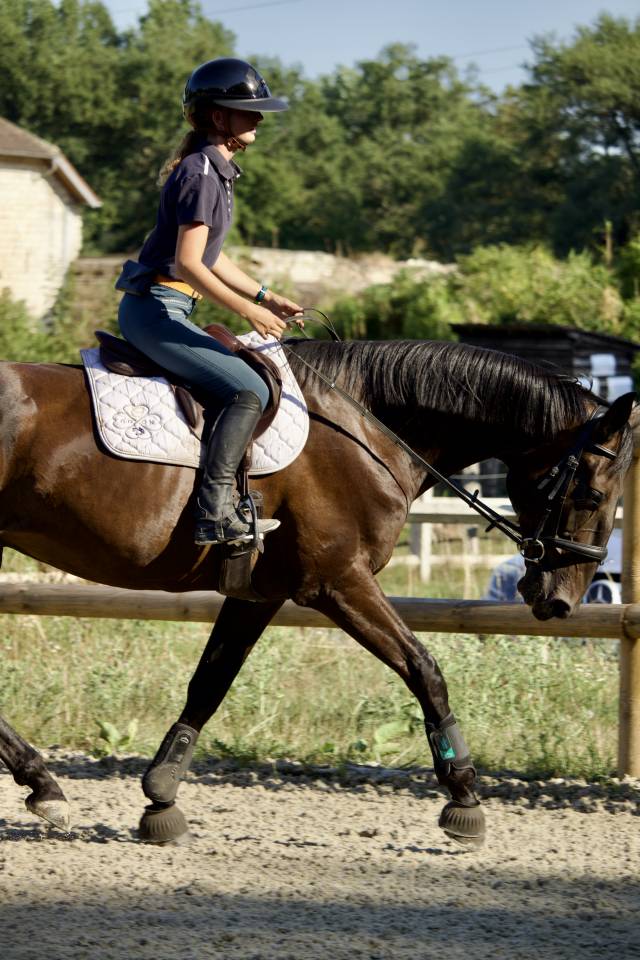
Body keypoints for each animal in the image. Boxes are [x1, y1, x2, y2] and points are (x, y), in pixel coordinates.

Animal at [0, 338, 635, 847]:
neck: (366, 430)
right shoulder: (339, 581)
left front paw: (162, 797)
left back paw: (42, 782)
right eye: (593, 494)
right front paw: (464, 798)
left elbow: (210, 683)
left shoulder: (259, 593)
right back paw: (44, 784)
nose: (562, 600)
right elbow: (424, 668)